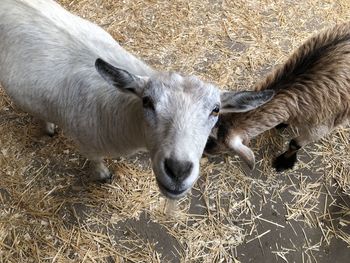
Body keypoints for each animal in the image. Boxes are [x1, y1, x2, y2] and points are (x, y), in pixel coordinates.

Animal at [0, 0, 274, 199]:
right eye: (147, 102)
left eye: (216, 110)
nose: (178, 171)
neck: (121, 112)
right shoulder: (86, 141)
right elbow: (95, 159)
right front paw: (103, 175)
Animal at [205, 22, 350, 171]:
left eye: (211, 141)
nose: (203, 154)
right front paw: (283, 124)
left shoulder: (324, 124)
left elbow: (295, 143)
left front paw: (284, 162)